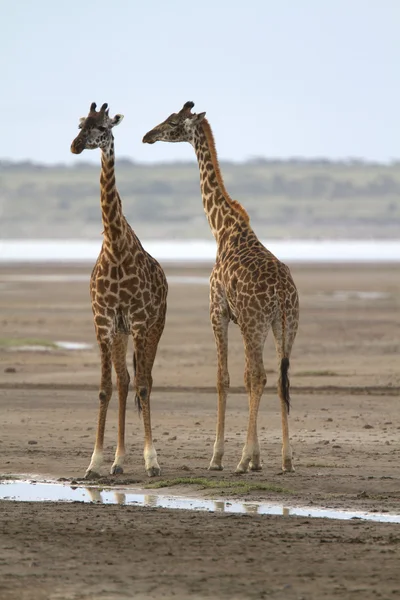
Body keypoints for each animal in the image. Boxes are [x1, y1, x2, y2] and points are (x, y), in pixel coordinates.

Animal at [70, 102, 167, 478]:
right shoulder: (104, 322)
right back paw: (118, 460)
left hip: (154, 326)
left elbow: (143, 384)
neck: (114, 245)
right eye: (80, 124)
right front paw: (95, 462)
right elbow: (105, 389)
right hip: (122, 332)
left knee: (145, 380)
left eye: (103, 126)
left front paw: (152, 461)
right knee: (125, 381)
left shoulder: (139, 320)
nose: (75, 145)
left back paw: (140, 459)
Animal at [142, 102, 298, 474]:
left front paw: (220, 458)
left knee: (260, 376)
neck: (222, 229)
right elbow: (242, 377)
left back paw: (241, 461)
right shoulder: (240, 320)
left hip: (257, 323)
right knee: (280, 379)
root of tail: (282, 296)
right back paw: (286, 460)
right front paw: (257, 459)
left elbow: (223, 378)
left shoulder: (219, 312)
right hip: (285, 326)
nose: (147, 135)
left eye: (173, 121)